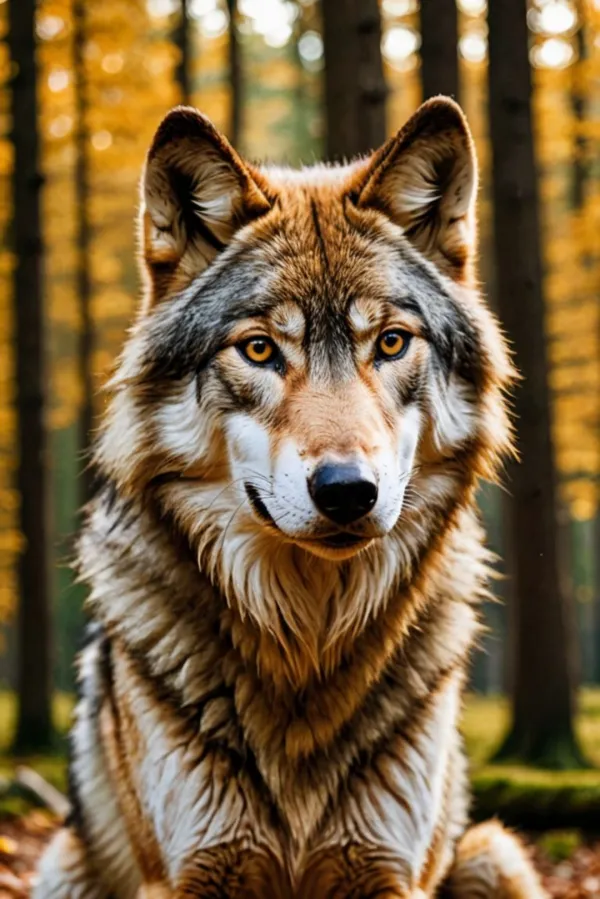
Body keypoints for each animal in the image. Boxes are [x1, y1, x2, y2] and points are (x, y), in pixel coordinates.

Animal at [35, 97, 547, 898]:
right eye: (259, 350)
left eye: (391, 342)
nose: (348, 491)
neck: (308, 644)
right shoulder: (188, 874)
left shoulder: (388, 871)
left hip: (495, 851)